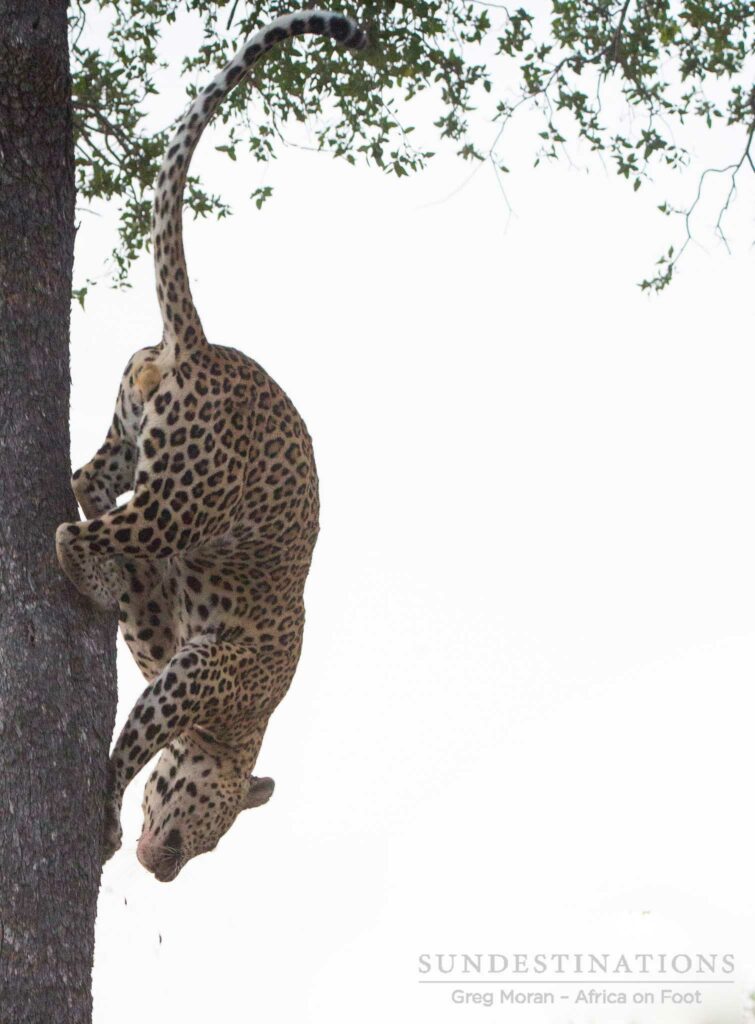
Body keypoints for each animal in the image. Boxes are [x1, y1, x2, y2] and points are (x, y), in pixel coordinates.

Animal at [56, 10, 368, 882]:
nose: (164, 871)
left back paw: (98, 559)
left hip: (135, 434)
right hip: (179, 501)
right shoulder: (195, 675)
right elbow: (128, 751)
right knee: (73, 530)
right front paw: (103, 819)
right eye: (211, 824)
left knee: (87, 481)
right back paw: (86, 568)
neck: (240, 728)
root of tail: (200, 347)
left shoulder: (165, 632)